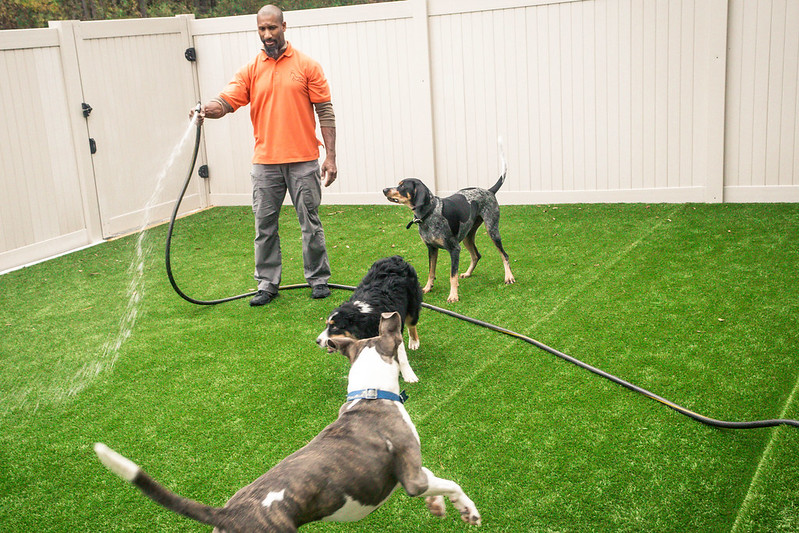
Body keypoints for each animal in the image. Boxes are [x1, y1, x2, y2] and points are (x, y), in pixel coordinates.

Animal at [94, 312, 482, 532]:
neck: (370, 392)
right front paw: (467, 509)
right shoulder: (412, 476)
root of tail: (227, 514)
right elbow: (450, 483)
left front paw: (437, 506)